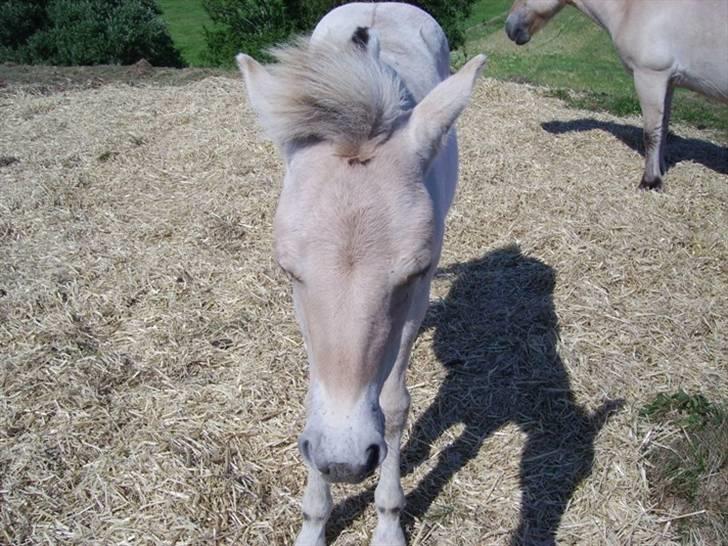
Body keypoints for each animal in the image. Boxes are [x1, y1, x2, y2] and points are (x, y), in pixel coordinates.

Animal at [239, 2, 486, 540]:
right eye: (287, 270)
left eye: (415, 271)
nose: (345, 460)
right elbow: (315, 394)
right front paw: (313, 527)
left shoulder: (416, 299)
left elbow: (393, 405)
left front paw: (389, 524)